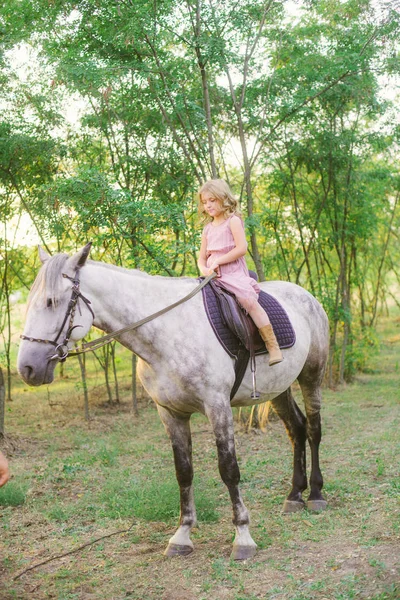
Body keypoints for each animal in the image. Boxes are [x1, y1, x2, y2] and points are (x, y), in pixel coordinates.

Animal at [17, 244, 330, 564]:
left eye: (52, 301)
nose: (27, 368)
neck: (167, 332)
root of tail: (305, 295)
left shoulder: (217, 406)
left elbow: (229, 469)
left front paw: (242, 536)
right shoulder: (171, 413)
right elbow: (183, 471)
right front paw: (182, 535)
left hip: (311, 376)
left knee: (314, 429)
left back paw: (316, 495)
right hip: (279, 387)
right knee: (297, 429)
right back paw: (295, 495)